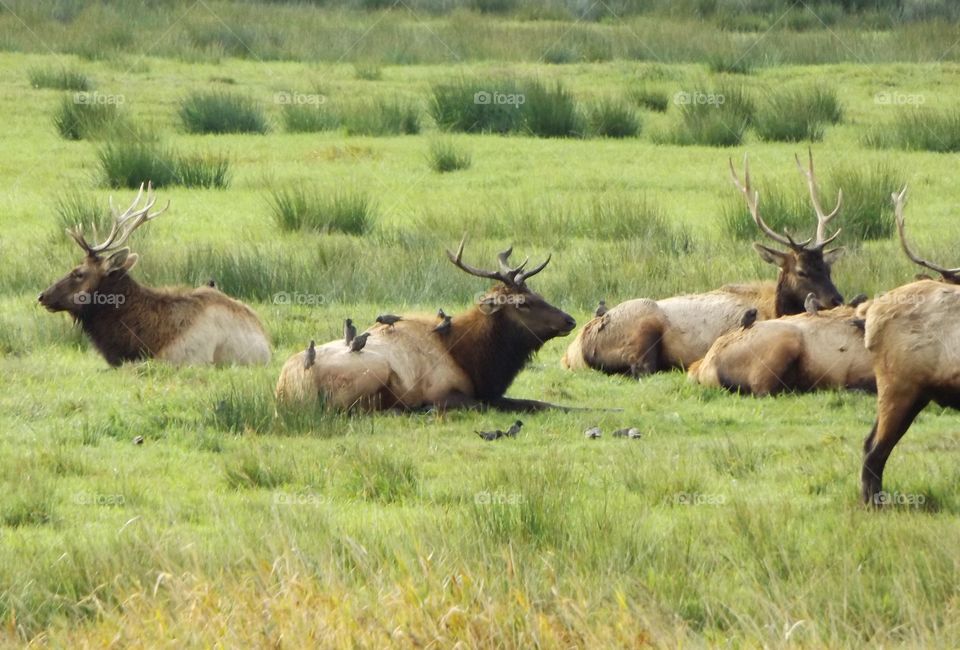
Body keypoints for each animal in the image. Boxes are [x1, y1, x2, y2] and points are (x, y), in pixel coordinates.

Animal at [275, 240, 576, 411]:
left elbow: (537, 402)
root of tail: (286, 389)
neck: (473, 360)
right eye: (522, 303)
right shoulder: (447, 393)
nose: (570, 320)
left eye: (537, 293)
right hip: (373, 368)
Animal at [562, 151, 846, 377]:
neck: (774, 308)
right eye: (801, 271)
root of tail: (572, 354)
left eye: (828, 268)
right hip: (643, 324)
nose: (837, 299)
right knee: (642, 367)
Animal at [860, 187, 960, 505]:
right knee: (875, 449)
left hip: (916, 393)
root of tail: (870, 311)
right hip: (899, 385)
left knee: (870, 443)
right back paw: (874, 505)